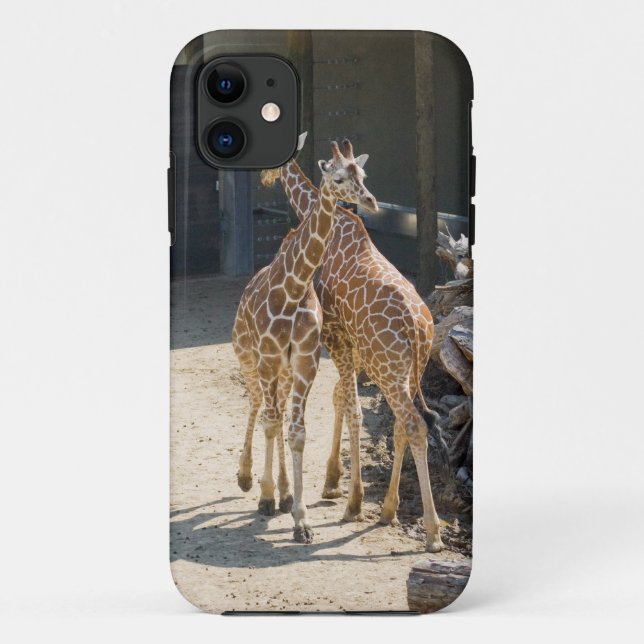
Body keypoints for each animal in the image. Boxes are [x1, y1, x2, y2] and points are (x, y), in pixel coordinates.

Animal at [232, 140, 377, 544]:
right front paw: (265, 496)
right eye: (338, 178)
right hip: (247, 357)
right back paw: (248, 478)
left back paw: (283, 492)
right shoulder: (267, 358)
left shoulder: (304, 363)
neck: (294, 288)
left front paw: (300, 519)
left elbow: (296, 432)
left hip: (282, 372)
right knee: (258, 406)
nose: (371, 201)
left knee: (279, 412)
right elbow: (270, 423)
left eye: (362, 174)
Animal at [260, 139, 448, 552]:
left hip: (387, 368)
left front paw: (349, 498)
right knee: (403, 424)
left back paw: (431, 532)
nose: (264, 176)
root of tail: (419, 329)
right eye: (354, 176)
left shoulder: (335, 335)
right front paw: (336, 484)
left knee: (412, 424)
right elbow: (343, 402)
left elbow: (350, 407)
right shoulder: (349, 346)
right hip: (404, 370)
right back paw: (390, 510)